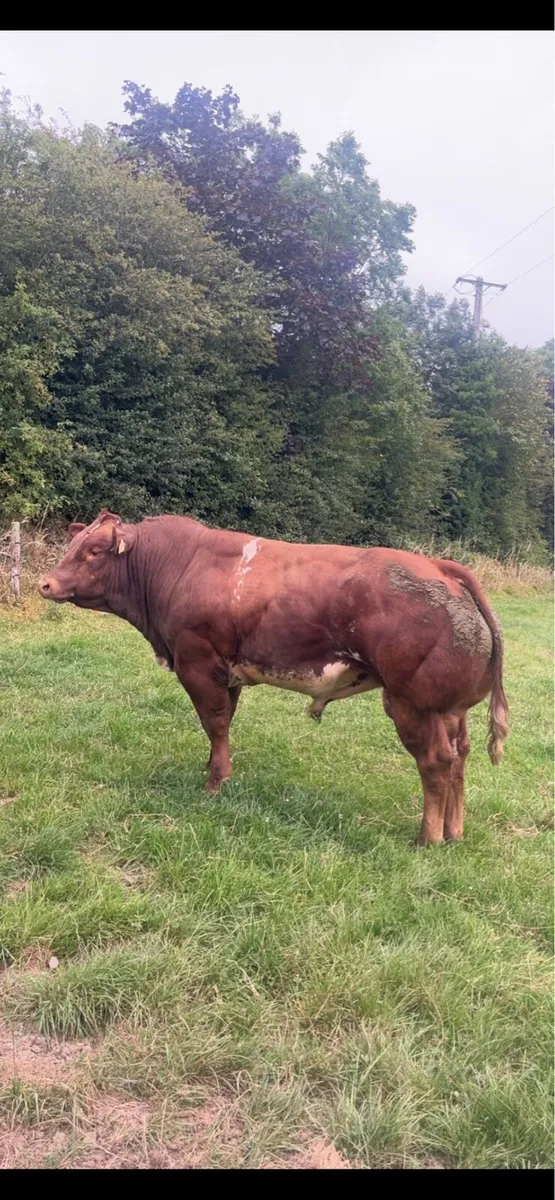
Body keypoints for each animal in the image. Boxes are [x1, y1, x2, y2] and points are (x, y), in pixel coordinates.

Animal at [39, 510, 509, 846]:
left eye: (93, 551)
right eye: (73, 544)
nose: (45, 584)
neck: (179, 566)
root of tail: (440, 567)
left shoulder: (197, 662)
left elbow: (215, 722)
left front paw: (215, 783)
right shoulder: (227, 671)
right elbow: (223, 724)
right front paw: (214, 769)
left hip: (412, 703)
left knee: (436, 761)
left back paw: (428, 838)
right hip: (451, 708)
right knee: (460, 757)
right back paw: (454, 832)